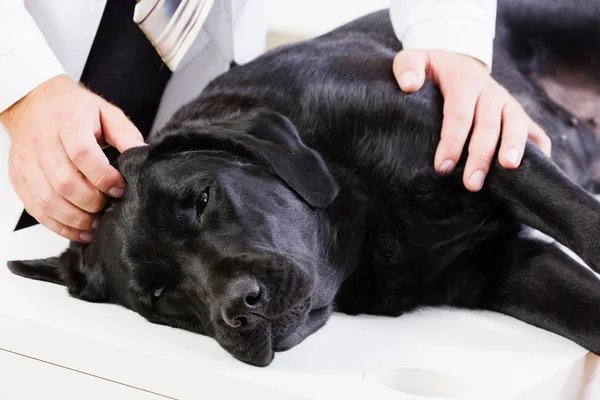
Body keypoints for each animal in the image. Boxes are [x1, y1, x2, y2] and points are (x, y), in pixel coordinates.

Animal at [9, 0, 600, 368]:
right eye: (159, 295)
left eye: (203, 199)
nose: (240, 307)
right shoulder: (504, 267)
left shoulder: (485, 143)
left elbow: (583, 221)